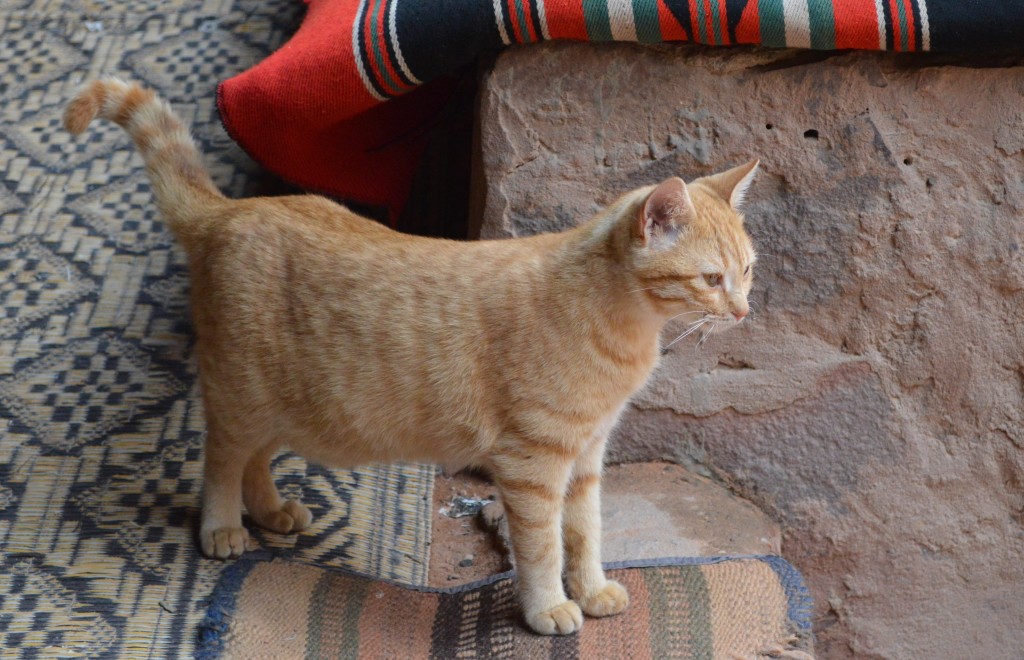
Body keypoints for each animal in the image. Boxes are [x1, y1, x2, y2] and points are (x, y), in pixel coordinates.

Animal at [61, 79, 753, 634]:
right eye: (711, 279)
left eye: (747, 271)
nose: (745, 312)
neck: (624, 325)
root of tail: (230, 211)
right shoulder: (532, 463)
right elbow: (542, 548)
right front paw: (550, 607)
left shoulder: (584, 457)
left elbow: (585, 533)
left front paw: (592, 588)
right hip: (241, 392)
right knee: (222, 458)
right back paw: (224, 525)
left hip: (290, 406)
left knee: (254, 457)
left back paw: (272, 511)